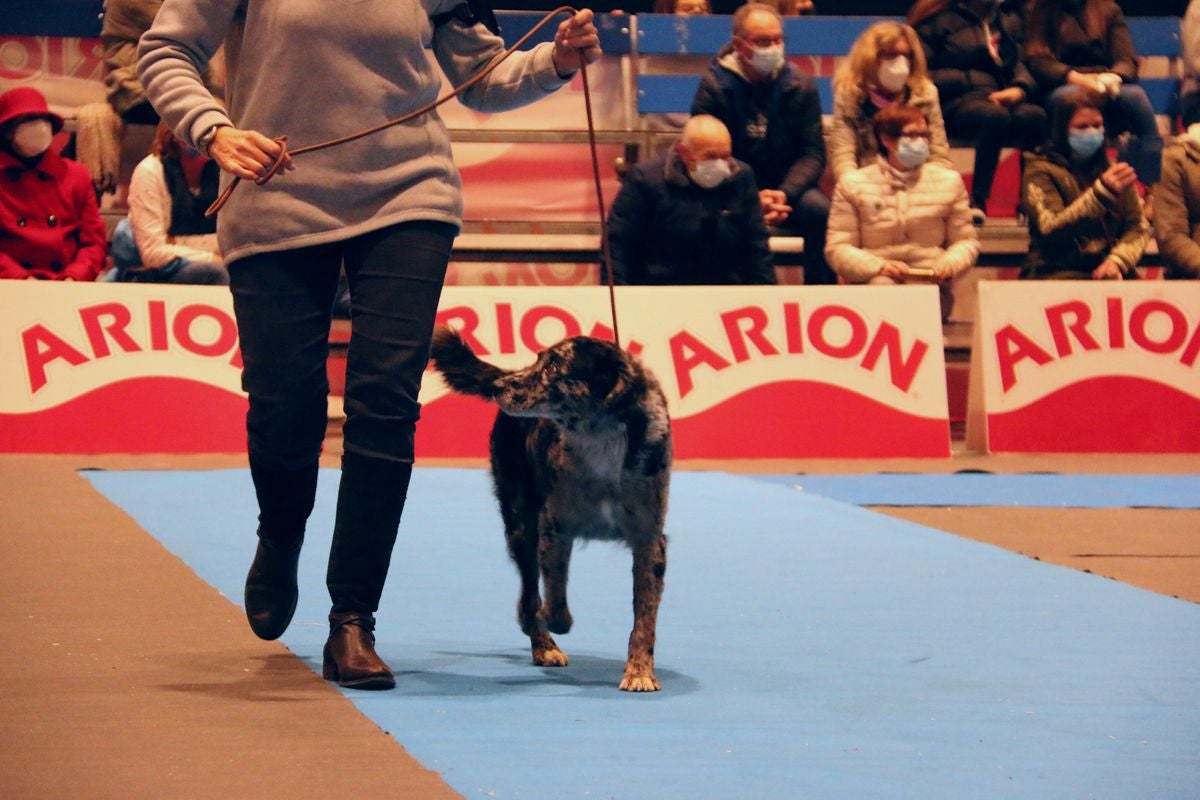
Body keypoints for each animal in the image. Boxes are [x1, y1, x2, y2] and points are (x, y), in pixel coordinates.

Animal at [429, 328, 676, 690]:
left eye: (555, 367)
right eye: (539, 359)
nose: (499, 386)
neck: (602, 442)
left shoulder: (649, 538)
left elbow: (645, 616)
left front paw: (640, 671)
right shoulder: (555, 527)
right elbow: (555, 593)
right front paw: (554, 622)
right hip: (521, 523)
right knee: (529, 591)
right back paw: (542, 642)